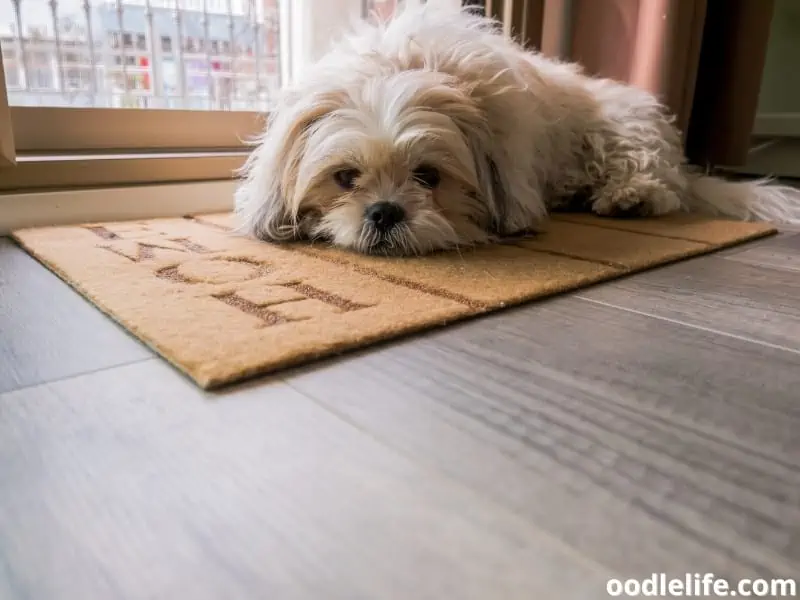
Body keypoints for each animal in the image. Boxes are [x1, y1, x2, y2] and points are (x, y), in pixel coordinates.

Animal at [231, 2, 800, 255]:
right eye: (345, 178)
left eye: (429, 177)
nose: (384, 211)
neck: (401, 68)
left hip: (624, 130)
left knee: (662, 187)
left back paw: (629, 197)